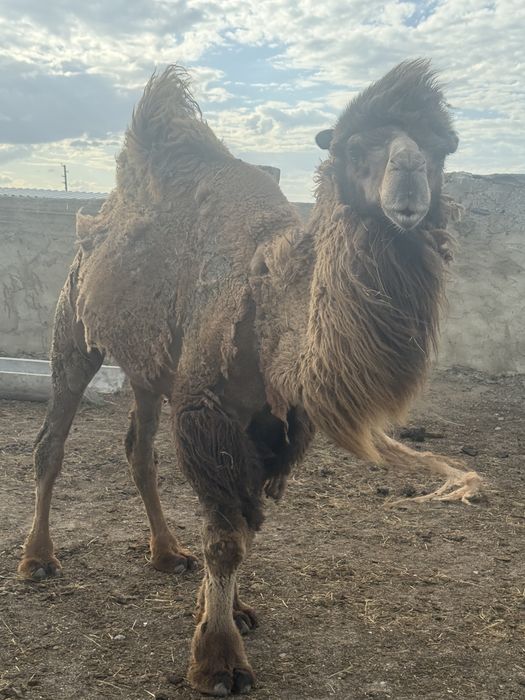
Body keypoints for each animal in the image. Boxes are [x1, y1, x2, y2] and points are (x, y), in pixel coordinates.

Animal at [19, 60, 481, 696]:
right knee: (52, 441)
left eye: (442, 147)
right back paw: (38, 559)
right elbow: (226, 536)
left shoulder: (275, 427)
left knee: (139, 448)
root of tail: (96, 224)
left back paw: (167, 553)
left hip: (150, 366)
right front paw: (218, 661)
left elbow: (248, 522)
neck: (271, 316)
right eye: (352, 145)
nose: (410, 183)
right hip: (74, 331)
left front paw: (228, 612)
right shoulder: (209, 411)